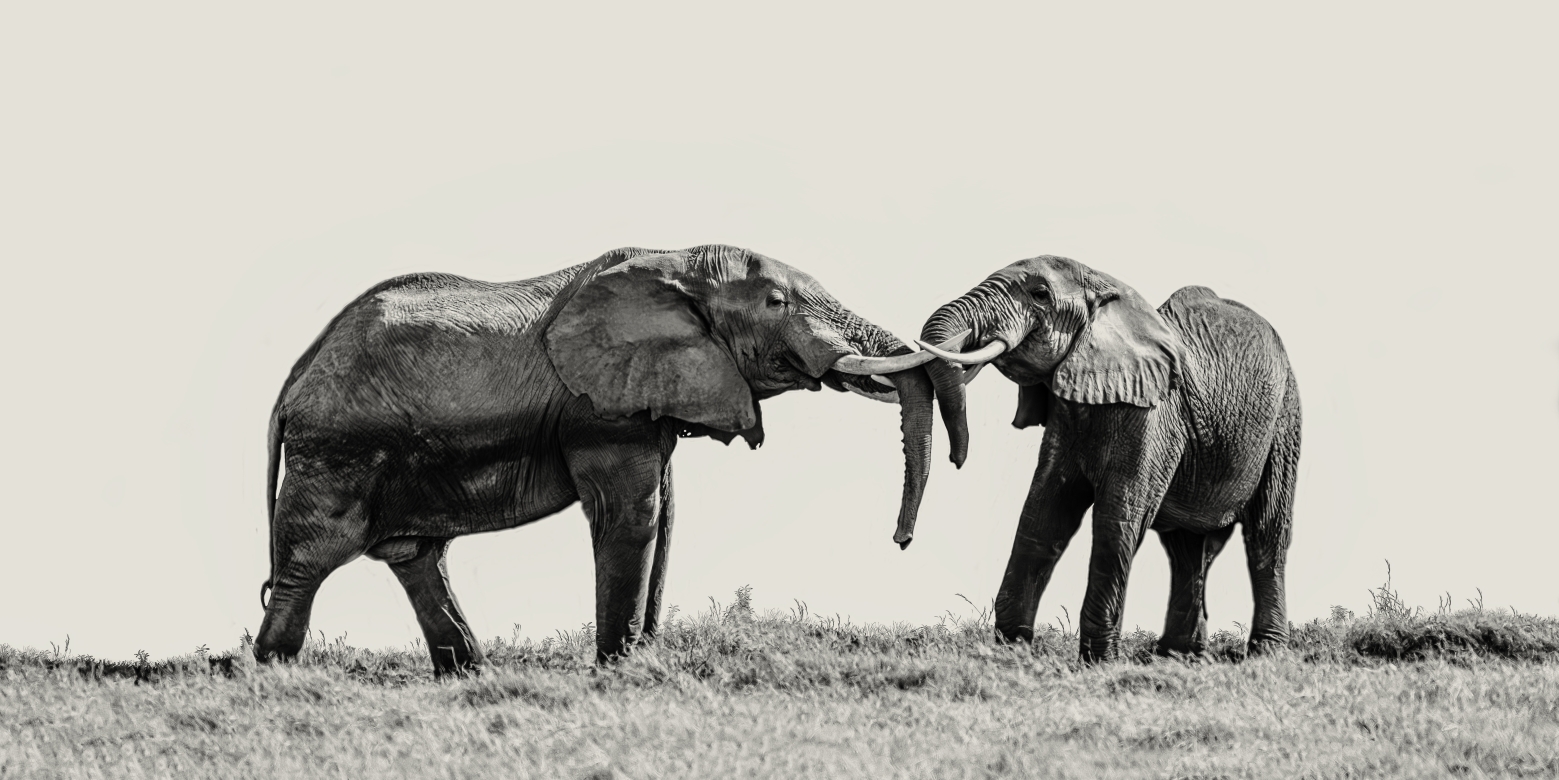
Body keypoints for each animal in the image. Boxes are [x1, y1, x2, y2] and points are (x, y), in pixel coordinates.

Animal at [257, 246, 941, 673]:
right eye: (777, 302)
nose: (902, 541)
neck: (675, 258)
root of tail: (293, 381)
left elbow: (665, 516)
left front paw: (642, 659)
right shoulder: (598, 410)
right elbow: (631, 516)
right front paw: (618, 668)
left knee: (416, 559)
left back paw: (470, 677)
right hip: (336, 451)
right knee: (309, 561)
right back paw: (270, 676)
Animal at [916, 257, 1297, 664]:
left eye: (1040, 294)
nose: (956, 459)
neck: (1107, 288)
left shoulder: (1153, 417)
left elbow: (1119, 520)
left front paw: (1099, 663)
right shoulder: (1068, 418)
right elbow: (1044, 514)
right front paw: (1012, 652)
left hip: (1285, 422)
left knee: (1266, 534)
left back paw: (1265, 652)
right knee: (1185, 547)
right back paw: (1177, 656)